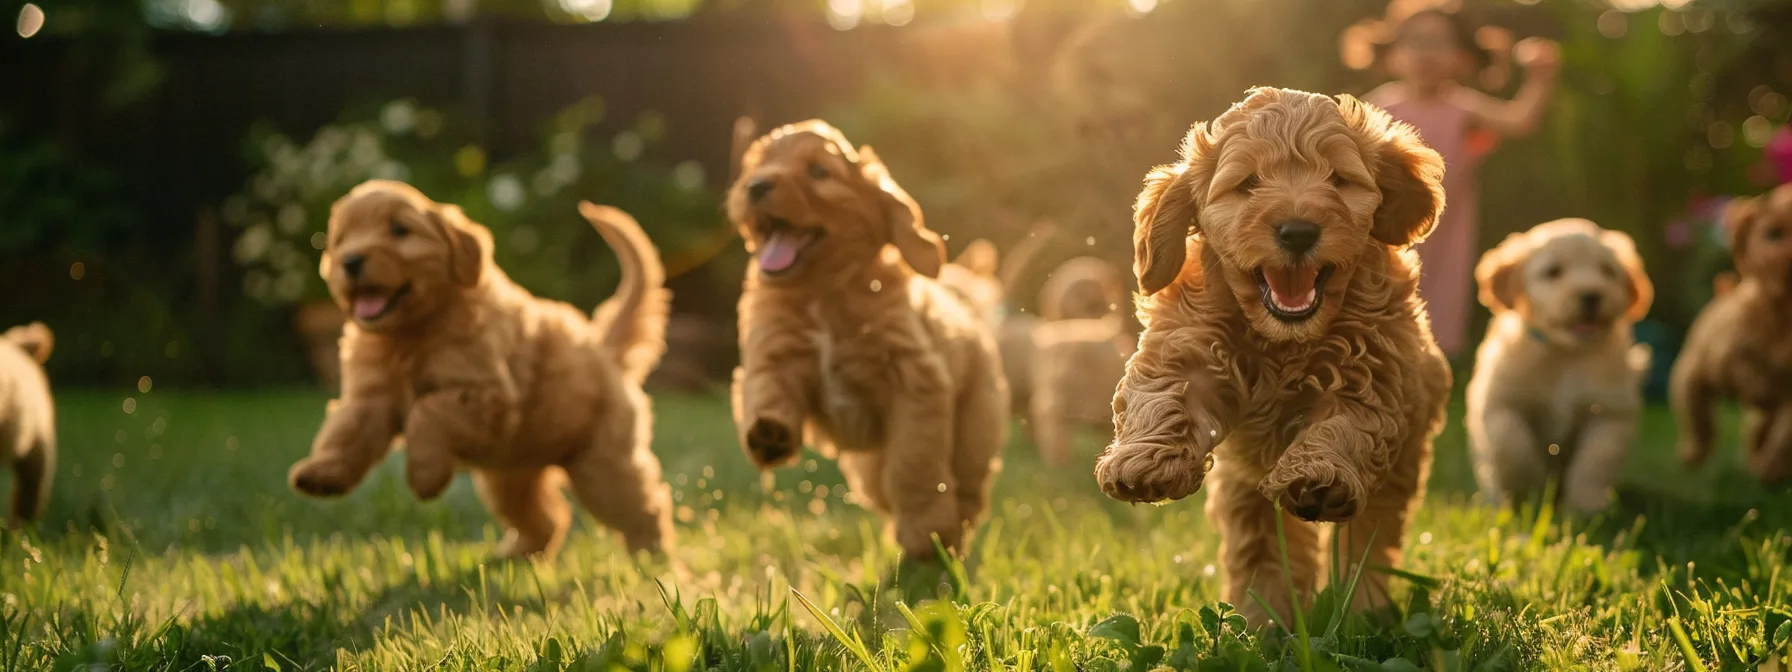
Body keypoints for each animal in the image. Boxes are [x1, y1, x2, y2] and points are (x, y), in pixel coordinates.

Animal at [286, 181, 677, 559]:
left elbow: (427, 411)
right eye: (341, 239)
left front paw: (425, 477)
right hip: (508, 473)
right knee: (545, 519)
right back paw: (513, 556)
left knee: (643, 507)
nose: (350, 261)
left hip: (599, 464)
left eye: (399, 230)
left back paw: (653, 558)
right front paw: (322, 473)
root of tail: (603, 349)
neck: (412, 332)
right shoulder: (370, 397)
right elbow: (345, 433)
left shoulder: (488, 395)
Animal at [1089, 88, 1455, 627]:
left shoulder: (1371, 373)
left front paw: (1317, 477)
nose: (1298, 231)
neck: (1283, 339)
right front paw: (1143, 461)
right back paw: (1263, 619)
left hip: (1402, 464)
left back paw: (1361, 612)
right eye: (1248, 184)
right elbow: (1164, 394)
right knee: (1260, 546)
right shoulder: (1188, 344)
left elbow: (1343, 424)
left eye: (1338, 179)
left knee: (1368, 539)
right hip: (1244, 489)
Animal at [1469, 221, 1648, 516]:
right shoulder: (1500, 401)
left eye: (1607, 271)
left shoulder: (1611, 413)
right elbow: (1510, 442)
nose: (1591, 296)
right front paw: (1524, 488)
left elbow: (1596, 461)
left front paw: (1587, 505)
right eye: (1553, 272)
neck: (1565, 353)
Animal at [1670, 184, 1792, 487]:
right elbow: (1698, 417)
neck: (1782, 320)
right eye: (1773, 233)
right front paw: (1693, 453)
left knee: (1759, 430)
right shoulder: (1695, 371)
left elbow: (1784, 436)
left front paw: (1771, 470)